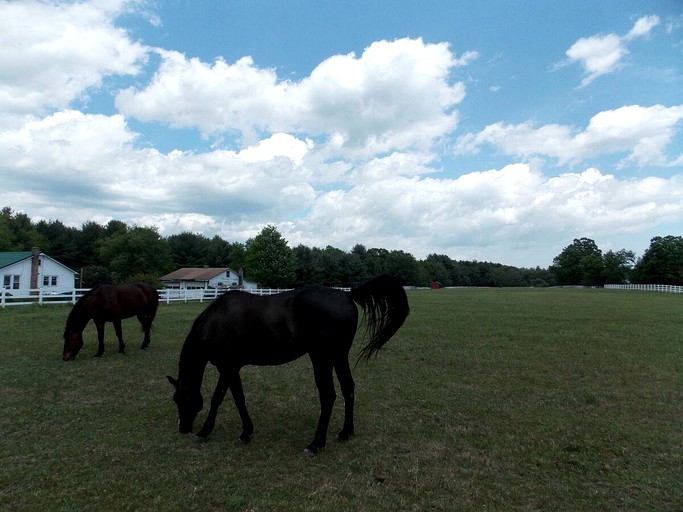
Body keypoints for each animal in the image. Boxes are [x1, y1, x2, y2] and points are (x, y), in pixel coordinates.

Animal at [168, 274, 408, 454]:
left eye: (180, 399)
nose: (183, 429)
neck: (216, 321)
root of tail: (347, 294)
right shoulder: (233, 368)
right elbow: (239, 398)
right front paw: (246, 432)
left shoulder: (226, 367)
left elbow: (217, 398)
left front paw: (204, 432)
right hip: (339, 356)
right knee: (348, 388)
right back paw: (345, 433)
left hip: (321, 358)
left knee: (328, 396)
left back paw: (315, 444)